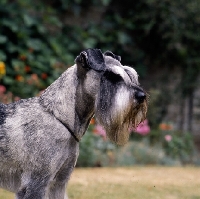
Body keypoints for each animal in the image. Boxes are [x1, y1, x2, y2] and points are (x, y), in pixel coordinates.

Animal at [0, 48, 147, 199]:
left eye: (129, 74)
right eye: (110, 75)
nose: (142, 96)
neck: (58, 116)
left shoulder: (59, 183)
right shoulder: (36, 183)